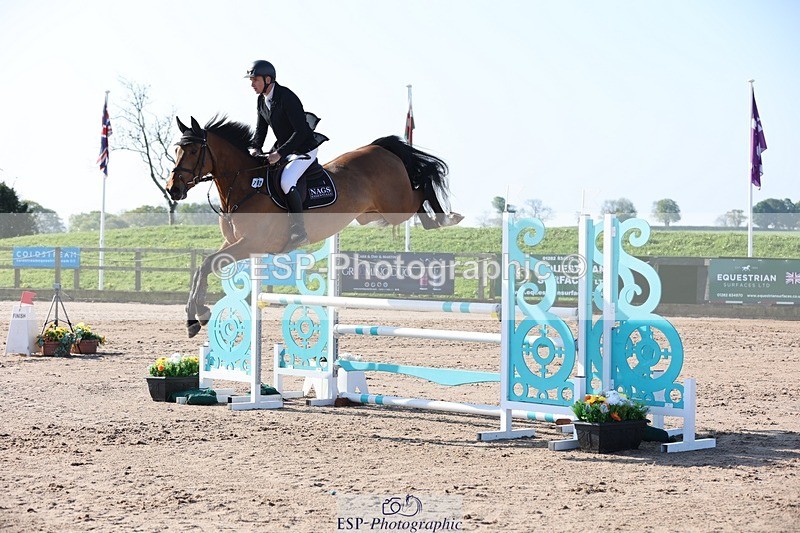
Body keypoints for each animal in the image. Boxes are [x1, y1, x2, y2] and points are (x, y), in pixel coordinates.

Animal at [166, 116, 462, 338]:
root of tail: (379, 148)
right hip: (370, 214)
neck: (244, 184)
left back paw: (445, 218)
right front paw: (195, 318)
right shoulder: (233, 243)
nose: (173, 189)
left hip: (396, 204)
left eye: (192, 150)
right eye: (176, 149)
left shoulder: (251, 243)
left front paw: (199, 314)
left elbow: (206, 265)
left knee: (422, 185)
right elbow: (202, 267)